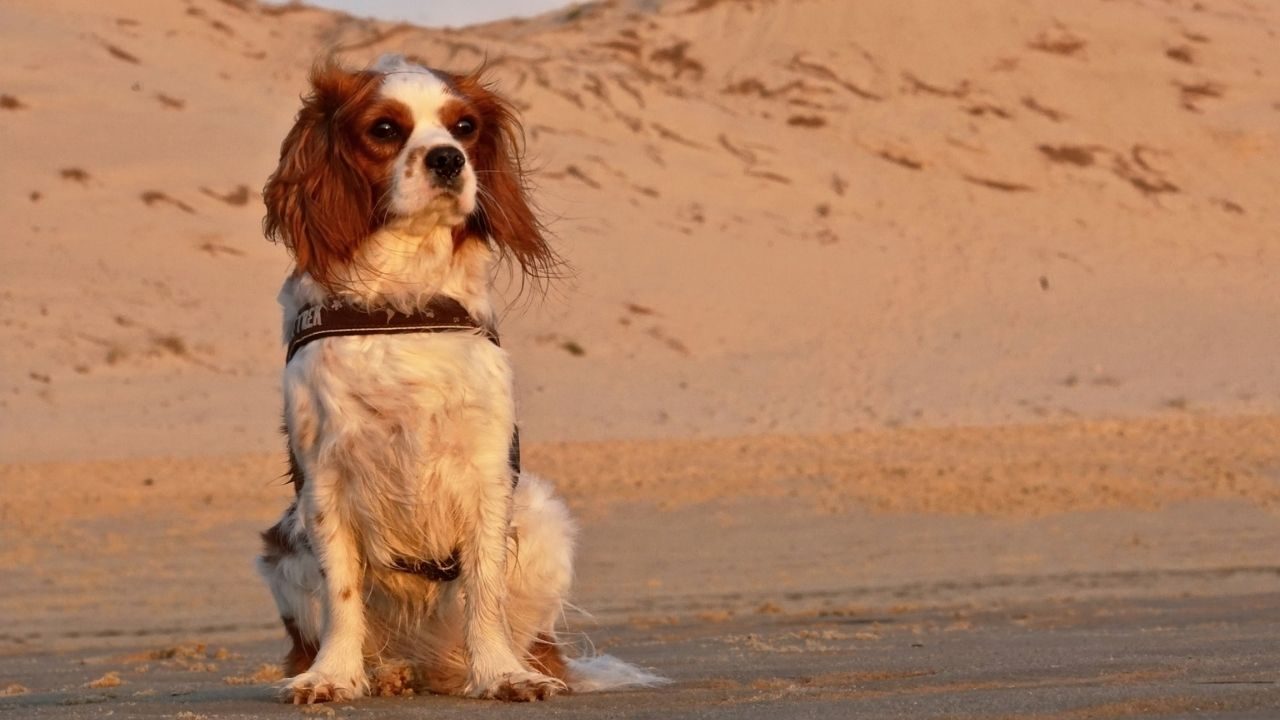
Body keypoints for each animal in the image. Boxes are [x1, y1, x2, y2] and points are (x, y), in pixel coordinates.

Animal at [256, 54, 665, 702]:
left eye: (465, 127)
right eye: (385, 129)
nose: (448, 158)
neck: (405, 299)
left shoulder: (487, 470)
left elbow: (484, 589)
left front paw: (501, 673)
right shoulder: (322, 476)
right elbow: (342, 592)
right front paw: (333, 676)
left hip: (542, 514)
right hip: (283, 548)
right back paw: (385, 672)